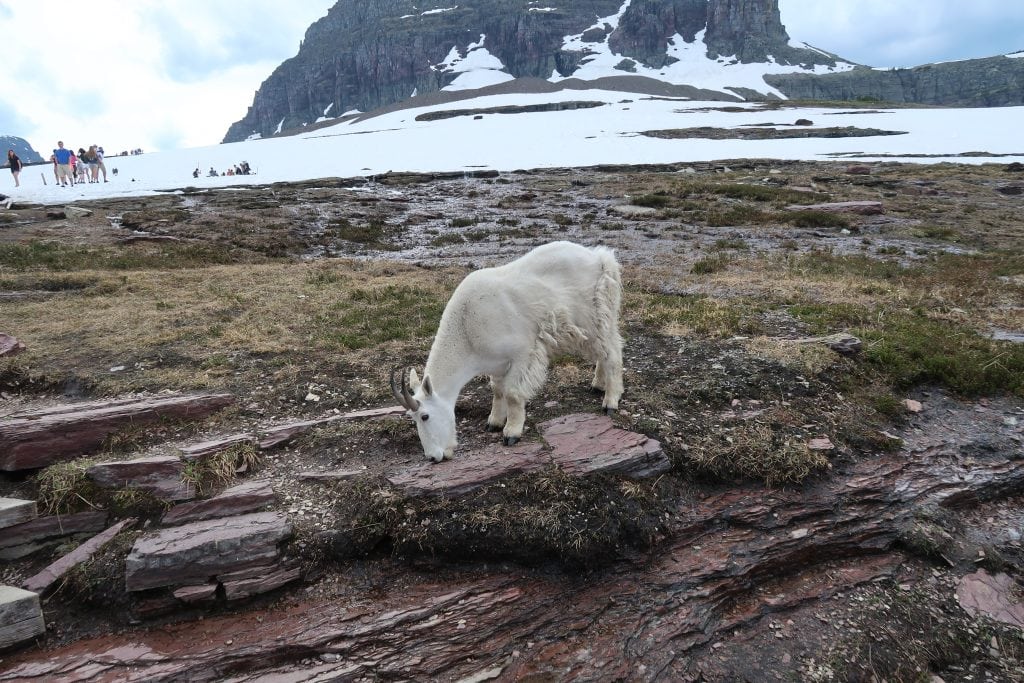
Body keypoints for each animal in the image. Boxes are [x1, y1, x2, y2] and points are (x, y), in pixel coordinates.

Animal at [391, 237, 622, 462]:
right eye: (413, 418)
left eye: (425, 416)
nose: (433, 457)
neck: (467, 329)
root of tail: (600, 258)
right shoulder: (497, 363)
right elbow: (498, 390)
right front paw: (493, 422)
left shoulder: (522, 354)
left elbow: (512, 393)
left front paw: (511, 433)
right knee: (603, 352)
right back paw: (598, 385)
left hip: (594, 317)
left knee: (612, 352)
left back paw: (610, 402)